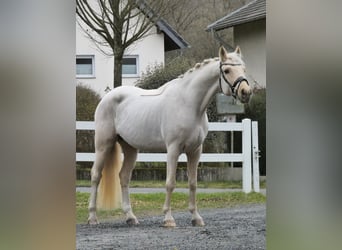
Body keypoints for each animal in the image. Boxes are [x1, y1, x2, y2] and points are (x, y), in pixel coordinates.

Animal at [86, 46, 251, 227]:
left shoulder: (195, 151)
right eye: (227, 70)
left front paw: (196, 217)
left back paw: (130, 217)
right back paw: (92, 217)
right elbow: (170, 183)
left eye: (244, 69)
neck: (189, 104)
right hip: (103, 144)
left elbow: (193, 183)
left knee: (124, 177)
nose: (246, 92)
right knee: (96, 175)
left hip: (130, 148)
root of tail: (107, 97)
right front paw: (168, 219)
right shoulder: (173, 149)